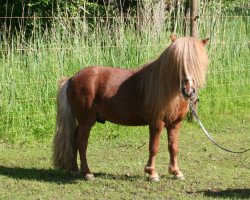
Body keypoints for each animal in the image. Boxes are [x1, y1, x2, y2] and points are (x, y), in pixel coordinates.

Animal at [52, 36, 209, 181]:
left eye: (198, 63)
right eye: (177, 62)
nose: (189, 91)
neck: (167, 90)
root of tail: (72, 79)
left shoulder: (175, 124)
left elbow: (173, 147)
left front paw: (176, 172)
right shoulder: (156, 124)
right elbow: (154, 147)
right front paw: (152, 173)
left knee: (74, 139)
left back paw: (75, 167)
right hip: (86, 122)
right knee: (82, 142)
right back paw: (87, 173)